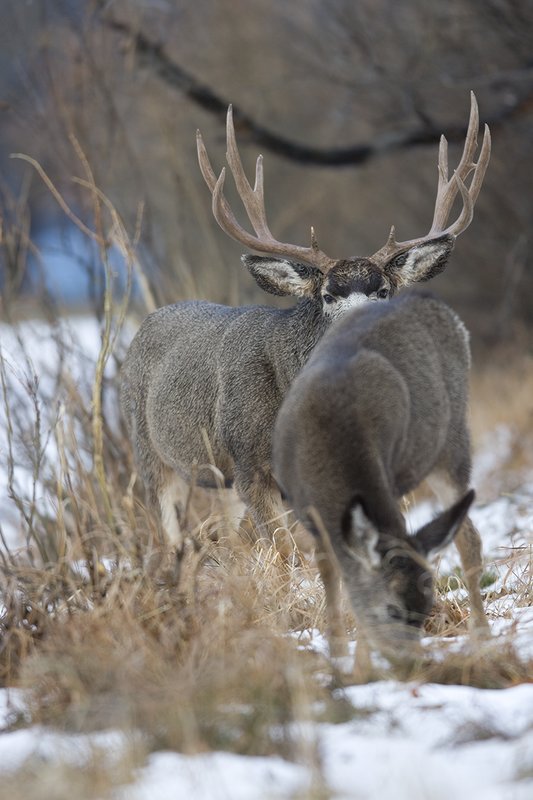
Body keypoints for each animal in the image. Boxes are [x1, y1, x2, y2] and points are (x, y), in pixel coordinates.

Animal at [120, 93, 490, 575]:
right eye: (329, 295)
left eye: (384, 290)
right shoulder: (250, 463)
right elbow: (283, 552)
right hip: (151, 452)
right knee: (170, 534)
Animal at [272, 290, 485, 671]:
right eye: (393, 610)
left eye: (426, 611)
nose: (411, 665)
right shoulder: (308, 515)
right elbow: (330, 576)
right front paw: (338, 654)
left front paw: (360, 663)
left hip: (452, 443)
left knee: (470, 537)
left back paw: (483, 635)